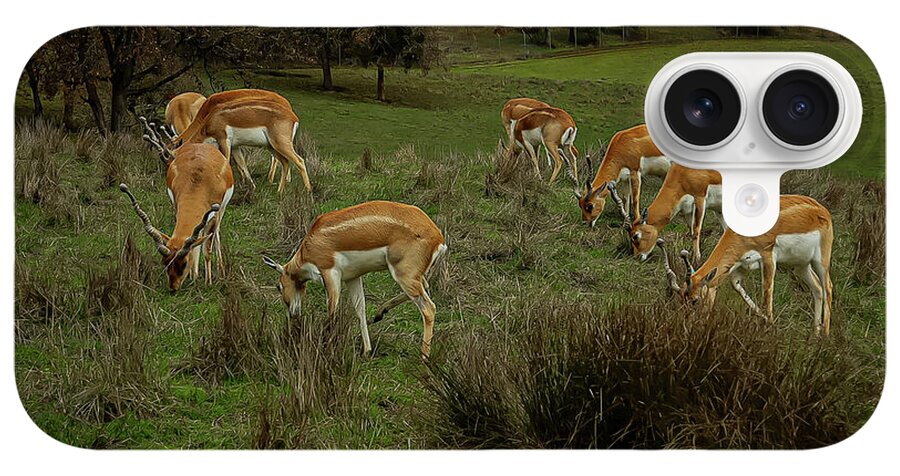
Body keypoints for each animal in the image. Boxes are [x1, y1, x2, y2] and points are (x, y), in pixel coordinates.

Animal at [121, 118, 235, 292]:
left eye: (183, 263)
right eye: (165, 263)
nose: (173, 288)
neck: (199, 182)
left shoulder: (214, 214)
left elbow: (207, 248)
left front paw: (208, 282)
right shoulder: (177, 205)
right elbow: (195, 241)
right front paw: (194, 276)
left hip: (221, 211)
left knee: (215, 234)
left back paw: (220, 269)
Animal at [169, 88, 311, 194]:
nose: (172, 180)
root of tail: (293, 116)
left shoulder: (224, 140)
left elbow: (226, 162)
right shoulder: (236, 147)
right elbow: (242, 164)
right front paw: (251, 186)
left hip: (280, 144)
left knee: (299, 161)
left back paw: (307, 191)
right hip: (272, 146)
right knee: (285, 162)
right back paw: (279, 191)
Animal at [262, 200, 447, 358]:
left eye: (278, 286)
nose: (293, 314)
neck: (310, 245)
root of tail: (438, 237)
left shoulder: (330, 273)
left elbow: (332, 310)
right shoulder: (353, 277)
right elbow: (360, 309)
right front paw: (367, 350)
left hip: (403, 275)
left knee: (428, 308)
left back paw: (424, 357)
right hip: (412, 276)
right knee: (425, 287)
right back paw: (379, 314)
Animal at [658, 195, 834, 335]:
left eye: (695, 300)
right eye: (680, 299)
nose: (687, 326)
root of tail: (823, 211)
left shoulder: (768, 257)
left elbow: (767, 291)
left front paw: (769, 326)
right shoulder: (740, 266)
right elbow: (738, 288)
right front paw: (765, 320)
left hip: (820, 261)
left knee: (828, 288)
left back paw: (825, 336)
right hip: (800, 266)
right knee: (817, 288)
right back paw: (815, 333)